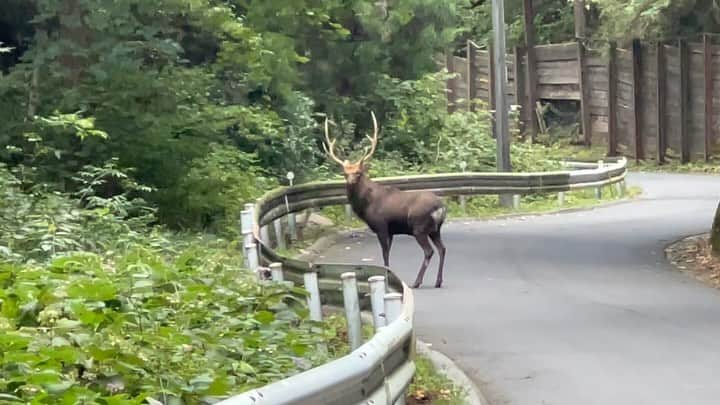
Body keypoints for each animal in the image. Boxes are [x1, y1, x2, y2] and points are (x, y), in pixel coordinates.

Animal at [324, 111, 448, 288]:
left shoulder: (381, 225)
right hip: (435, 229)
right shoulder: (390, 230)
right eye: (345, 173)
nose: (350, 182)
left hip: (419, 227)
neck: (366, 205)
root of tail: (440, 207)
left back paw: (417, 282)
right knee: (442, 249)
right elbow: (387, 253)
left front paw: (387, 276)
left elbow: (385, 254)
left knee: (429, 251)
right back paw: (438, 281)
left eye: (358, 173)